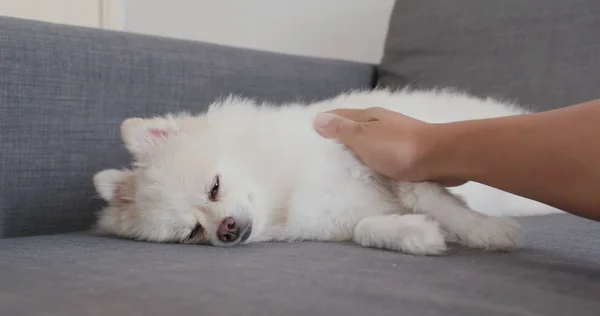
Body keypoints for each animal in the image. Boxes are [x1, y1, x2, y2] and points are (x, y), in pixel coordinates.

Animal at [91, 88, 560, 254]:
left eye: (214, 187)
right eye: (193, 232)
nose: (226, 230)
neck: (285, 192)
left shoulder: (382, 158)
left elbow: (426, 196)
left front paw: (485, 231)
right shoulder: (343, 219)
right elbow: (366, 228)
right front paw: (416, 235)